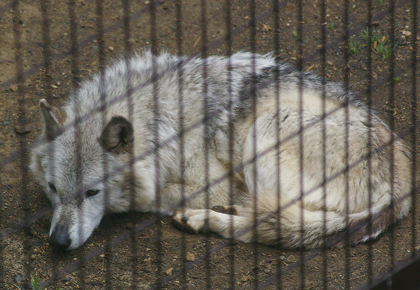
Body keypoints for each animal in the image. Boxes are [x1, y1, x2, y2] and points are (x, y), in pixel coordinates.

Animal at [29, 49, 410, 249]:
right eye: (53, 189)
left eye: (92, 192)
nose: (58, 242)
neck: (161, 119)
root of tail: (402, 185)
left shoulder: (211, 180)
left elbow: (151, 196)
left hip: (267, 126)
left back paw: (205, 217)